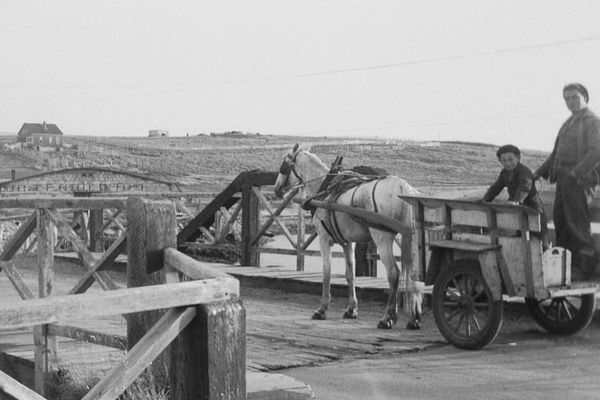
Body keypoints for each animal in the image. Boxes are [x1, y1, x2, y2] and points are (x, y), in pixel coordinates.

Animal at [274, 145, 424, 330]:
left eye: (283, 166)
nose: (276, 188)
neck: (324, 188)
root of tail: (403, 187)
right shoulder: (348, 243)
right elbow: (350, 274)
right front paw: (351, 309)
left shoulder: (324, 238)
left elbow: (327, 272)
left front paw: (322, 309)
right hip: (409, 238)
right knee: (413, 275)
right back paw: (414, 318)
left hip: (382, 237)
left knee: (393, 274)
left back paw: (388, 317)